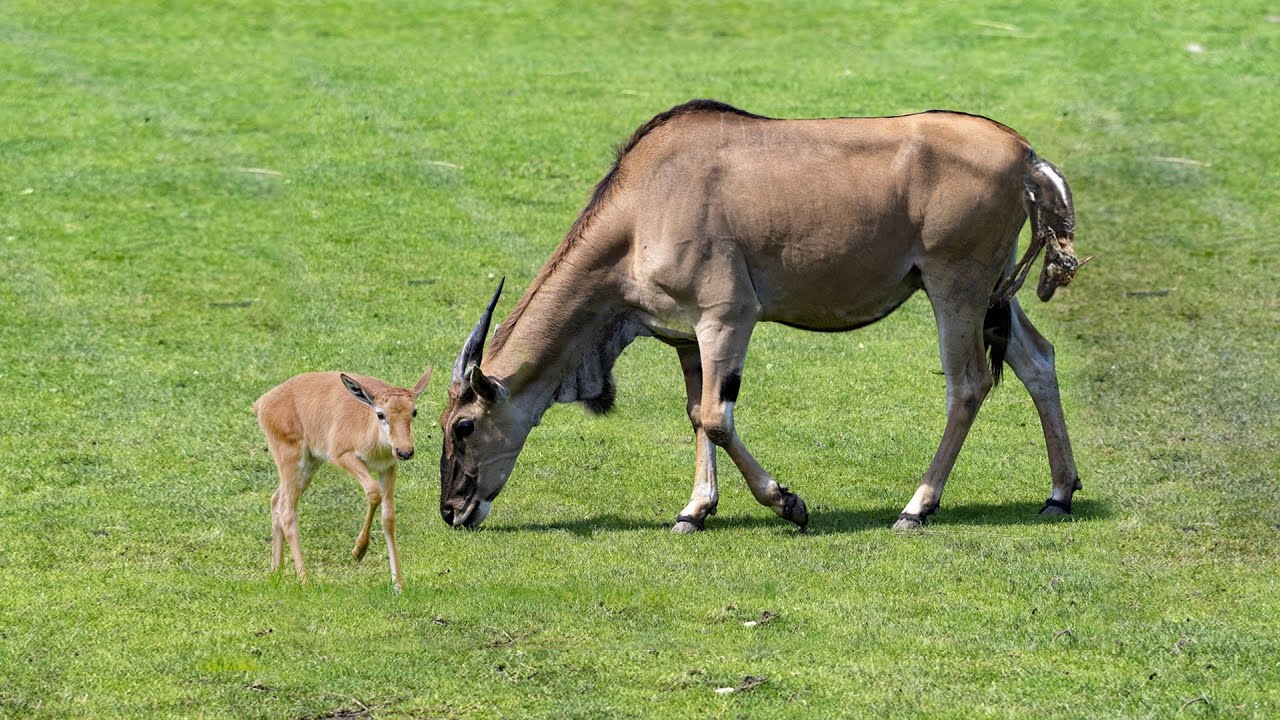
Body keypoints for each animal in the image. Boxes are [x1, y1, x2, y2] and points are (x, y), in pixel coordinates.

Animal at [254, 367, 432, 589]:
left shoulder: (388, 467)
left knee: (276, 499)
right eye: (380, 414)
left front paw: (398, 585)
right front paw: (358, 551)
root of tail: (262, 402)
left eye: (414, 411)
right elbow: (373, 492)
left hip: (310, 464)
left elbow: (389, 518)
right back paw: (305, 580)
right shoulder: (343, 456)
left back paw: (276, 572)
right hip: (291, 459)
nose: (405, 451)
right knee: (287, 511)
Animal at [439, 99, 1083, 533]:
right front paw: (694, 511)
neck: (643, 205)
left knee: (968, 383)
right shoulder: (687, 337)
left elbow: (717, 417)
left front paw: (788, 503)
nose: (452, 510)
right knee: (1039, 360)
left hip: (956, 289)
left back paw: (917, 506)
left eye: (463, 426)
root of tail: (1026, 157)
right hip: (994, 293)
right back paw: (1059, 492)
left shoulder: (728, 317)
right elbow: (697, 416)